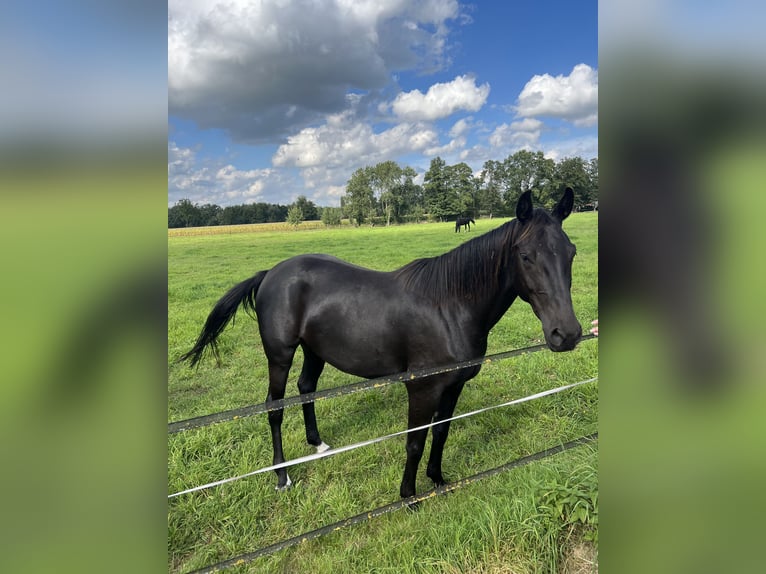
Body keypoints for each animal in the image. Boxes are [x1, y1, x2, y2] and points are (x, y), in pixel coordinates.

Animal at [183, 191, 584, 502]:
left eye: (571, 252)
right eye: (526, 255)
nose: (566, 334)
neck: (450, 306)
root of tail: (271, 274)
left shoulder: (454, 386)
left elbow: (441, 433)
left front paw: (439, 481)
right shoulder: (422, 389)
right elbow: (414, 441)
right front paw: (408, 496)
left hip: (314, 351)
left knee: (306, 389)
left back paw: (317, 444)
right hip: (279, 356)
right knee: (275, 408)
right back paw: (282, 476)